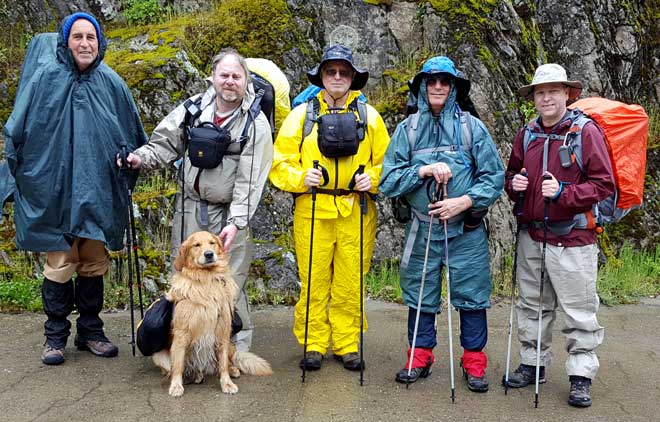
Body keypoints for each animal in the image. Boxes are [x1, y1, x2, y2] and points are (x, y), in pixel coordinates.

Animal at [151, 231, 270, 396]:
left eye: (212, 243)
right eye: (196, 245)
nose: (209, 254)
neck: (207, 280)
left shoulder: (223, 331)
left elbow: (223, 365)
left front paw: (227, 383)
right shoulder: (181, 333)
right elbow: (178, 365)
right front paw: (176, 385)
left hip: (231, 344)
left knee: (227, 361)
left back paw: (231, 370)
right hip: (158, 355)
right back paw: (194, 375)